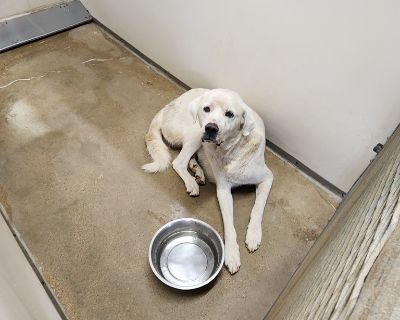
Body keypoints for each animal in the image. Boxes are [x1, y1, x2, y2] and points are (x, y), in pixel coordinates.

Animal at [142, 89, 274, 274]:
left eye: (230, 114)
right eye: (206, 109)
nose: (211, 127)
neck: (232, 149)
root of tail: (167, 107)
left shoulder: (267, 178)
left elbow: (258, 208)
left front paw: (254, 235)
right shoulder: (223, 190)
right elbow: (229, 225)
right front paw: (232, 254)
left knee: (189, 159)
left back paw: (198, 172)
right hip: (195, 132)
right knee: (178, 162)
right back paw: (192, 181)